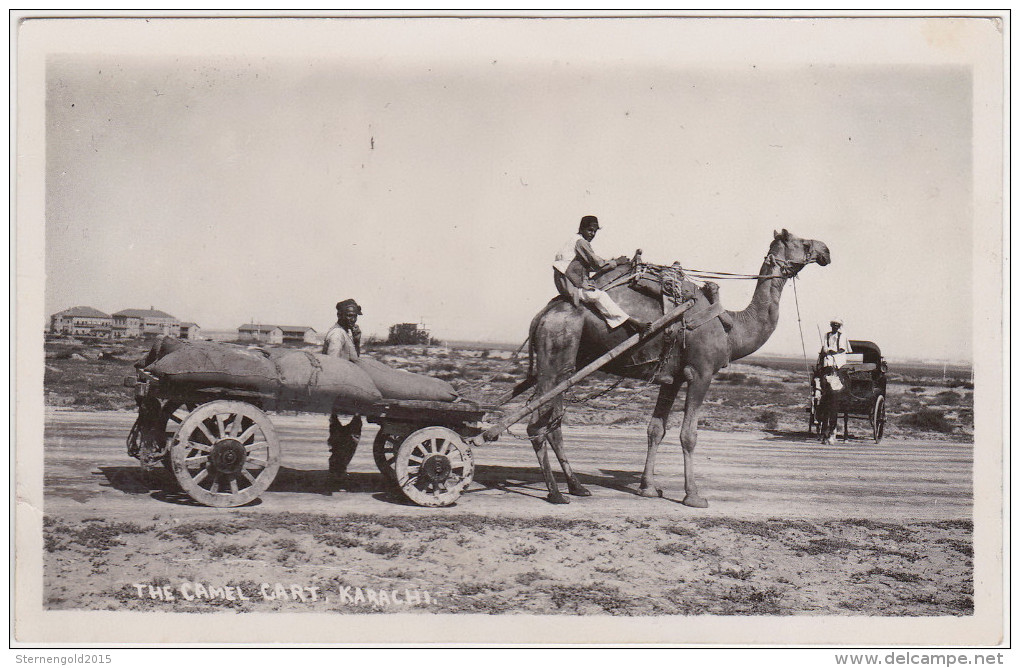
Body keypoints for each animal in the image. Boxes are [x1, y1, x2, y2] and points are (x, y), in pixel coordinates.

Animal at [526, 230, 828, 507]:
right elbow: (688, 435)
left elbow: (655, 430)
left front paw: (648, 488)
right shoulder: (701, 373)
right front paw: (693, 495)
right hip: (557, 353)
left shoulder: (671, 379)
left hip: (565, 364)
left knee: (551, 422)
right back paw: (556, 493)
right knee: (538, 424)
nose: (825, 251)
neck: (732, 328)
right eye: (803, 242)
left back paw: (576, 487)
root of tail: (541, 316)